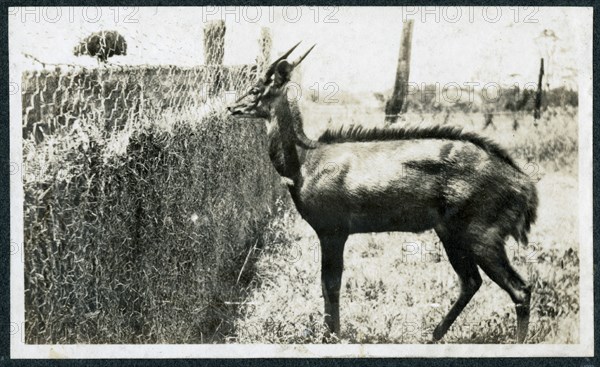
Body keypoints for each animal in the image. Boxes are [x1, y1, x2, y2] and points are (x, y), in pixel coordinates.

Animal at [229, 43, 540, 344]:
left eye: (256, 89)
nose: (232, 107)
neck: (305, 162)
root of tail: (524, 187)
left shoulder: (333, 230)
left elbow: (330, 284)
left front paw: (331, 337)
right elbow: (328, 285)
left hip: (483, 234)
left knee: (520, 288)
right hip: (451, 232)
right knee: (472, 282)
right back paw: (433, 336)